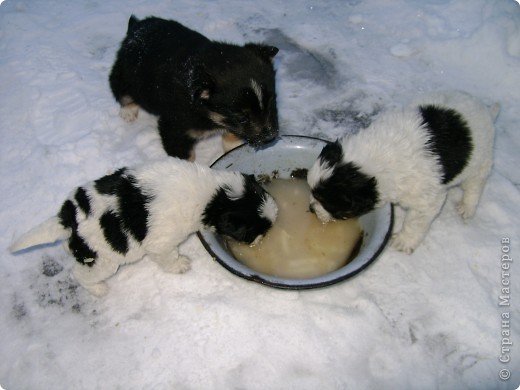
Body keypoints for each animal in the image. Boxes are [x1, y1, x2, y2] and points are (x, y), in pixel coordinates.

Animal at [10, 158, 278, 296]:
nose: (263, 239)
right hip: (103, 260)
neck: (213, 196)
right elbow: (168, 256)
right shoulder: (162, 241)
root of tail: (68, 215)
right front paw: (179, 264)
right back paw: (97, 289)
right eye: (253, 231)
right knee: (80, 274)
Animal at [109, 14, 280, 159]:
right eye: (242, 117)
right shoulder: (174, 129)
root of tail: (135, 26)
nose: (270, 138)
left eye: (271, 103)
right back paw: (128, 112)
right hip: (123, 75)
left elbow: (231, 138)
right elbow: (185, 159)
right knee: (122, 94)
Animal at [306, 92, 498, 256]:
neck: (379, 154)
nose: (311, 209)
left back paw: (467, 207)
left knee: (475, 184)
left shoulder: (427, 198)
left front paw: (404, 241)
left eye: (326, 203)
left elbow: (415, 222)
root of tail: (484, 108)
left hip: (480, 160)